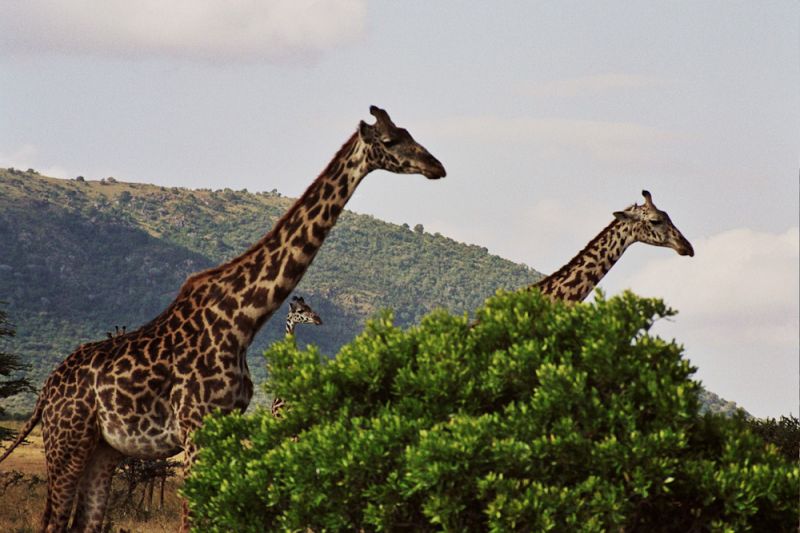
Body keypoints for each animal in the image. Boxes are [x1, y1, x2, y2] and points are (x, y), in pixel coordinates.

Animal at [0, 105, 445, 533]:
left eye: (408, 132)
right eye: (390, 140)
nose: (436, 166)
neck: (243, 319)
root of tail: (45, 392)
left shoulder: (225, 425)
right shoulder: (197, 428)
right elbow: (191, 520)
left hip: (103, 450)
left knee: (85, 522)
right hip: (68, 441)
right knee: (52, 521)